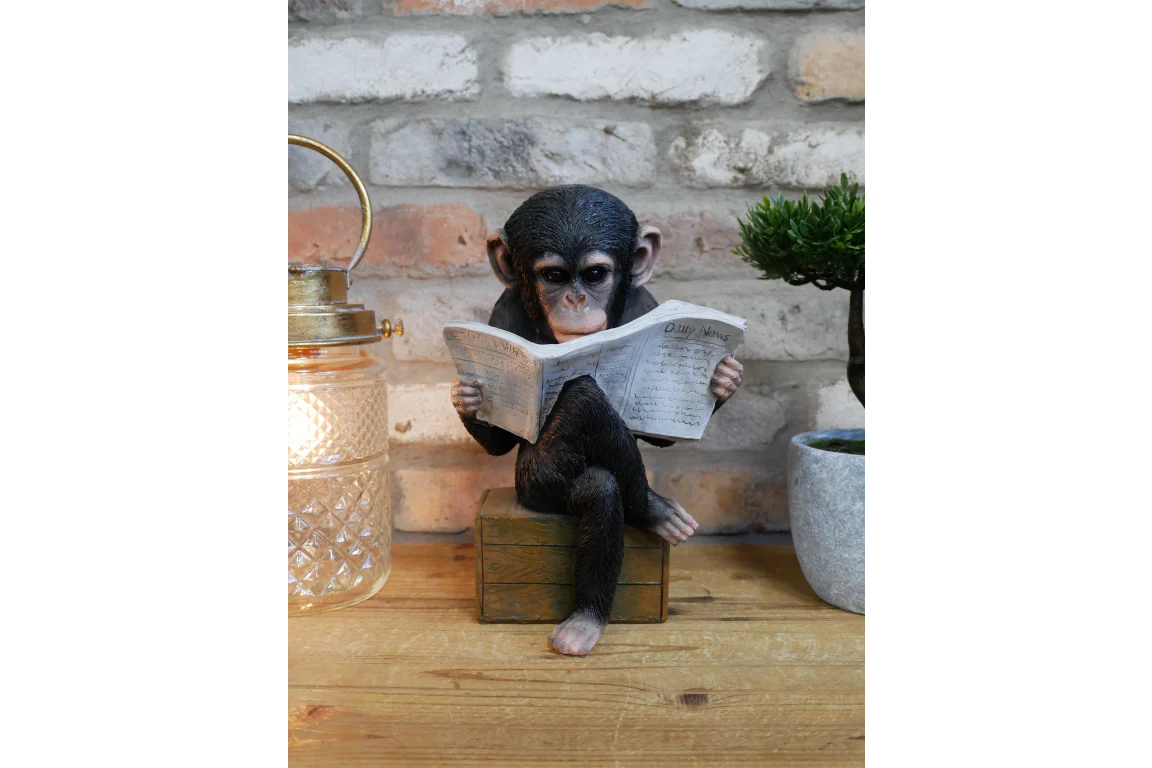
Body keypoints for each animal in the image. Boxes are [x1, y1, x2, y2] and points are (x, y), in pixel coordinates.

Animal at [450, 186, 744, 656]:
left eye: (594, 274)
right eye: (553, 276)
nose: (575, 299)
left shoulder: (647, 304)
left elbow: (658, 435)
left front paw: (725, 377)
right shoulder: (503, 311)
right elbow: (501, 442)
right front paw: (468, 395)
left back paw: (649, 514)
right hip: (532, 487)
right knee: (593, 465)